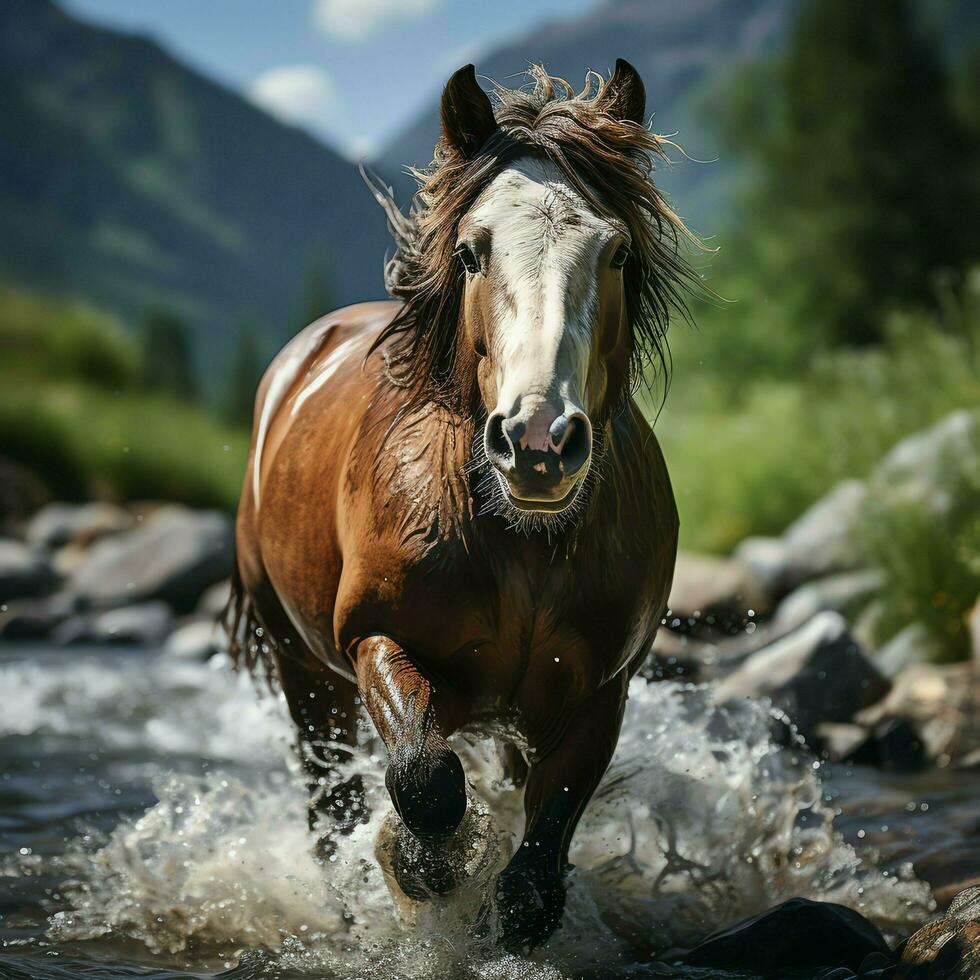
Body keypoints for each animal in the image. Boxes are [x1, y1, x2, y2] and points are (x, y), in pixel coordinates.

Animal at [227, 61, 692, 948]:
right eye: (473, 251)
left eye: (616, 250)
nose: (539, 439)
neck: (519, 541)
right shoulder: (375, 638)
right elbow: (426, 777)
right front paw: (421, 869)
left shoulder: (598, 692)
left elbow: (535, 876)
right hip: (302, 669)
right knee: (329, 802)